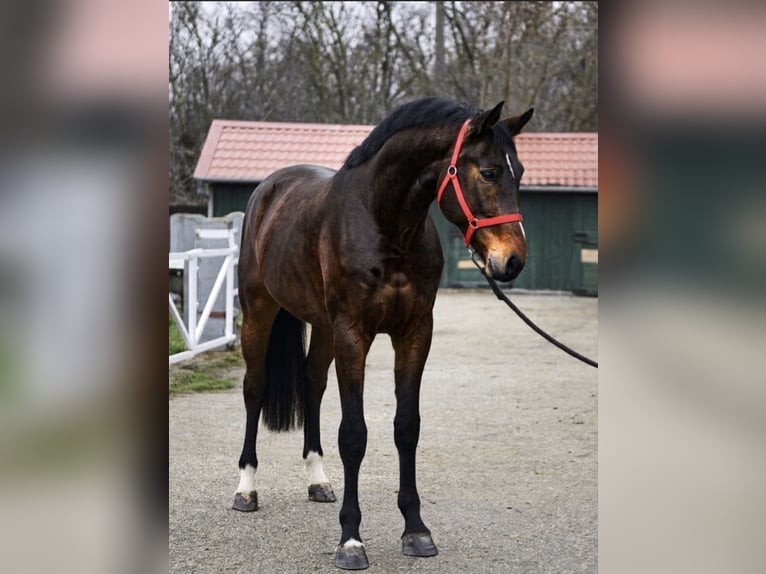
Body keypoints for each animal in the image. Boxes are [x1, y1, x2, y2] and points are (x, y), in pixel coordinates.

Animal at [232, 96, 533, 570]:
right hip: (259, 312)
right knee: (254, 389)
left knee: (312, 383)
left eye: (518, 173)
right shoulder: (354, 334)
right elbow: (354, 435)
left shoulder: (414, 332)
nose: (512, 261)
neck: (384, 224)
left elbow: (406, 427)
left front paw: (416, 530)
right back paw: (246, 487)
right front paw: (351, 540)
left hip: (322, 327)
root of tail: (270, 189)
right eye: (488, 172)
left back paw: (317, 480)